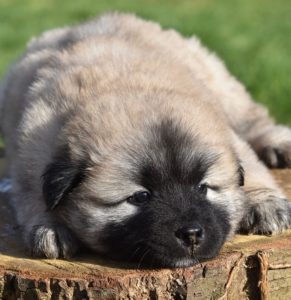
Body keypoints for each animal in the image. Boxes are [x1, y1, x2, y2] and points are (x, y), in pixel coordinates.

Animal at [0, 12, 291, 268]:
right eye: (140, 197)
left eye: (202, 188)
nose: (191, 234)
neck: (130, 85)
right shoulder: (32, 151)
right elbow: (33, 194)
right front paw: (50, 227)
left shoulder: (228, 133)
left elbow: (251, 166)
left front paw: (265, 203)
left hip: (220, 84)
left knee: (253, 118)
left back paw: (278, 145)